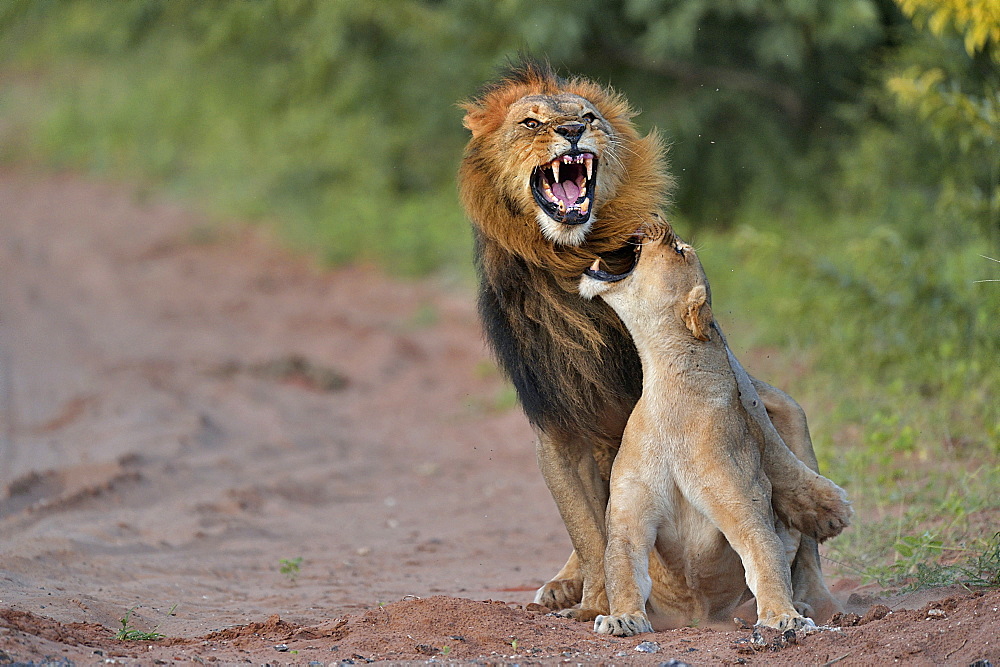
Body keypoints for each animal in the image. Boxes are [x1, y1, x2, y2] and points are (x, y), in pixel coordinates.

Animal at [580, 220, 852, 636]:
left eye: (679, 250)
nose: (657, 223)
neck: (668, 391)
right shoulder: (629, 518)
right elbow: (622, 569)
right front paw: (622, 618)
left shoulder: (742, 502)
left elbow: (764, 557)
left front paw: (782, 616)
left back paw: (804, 605)